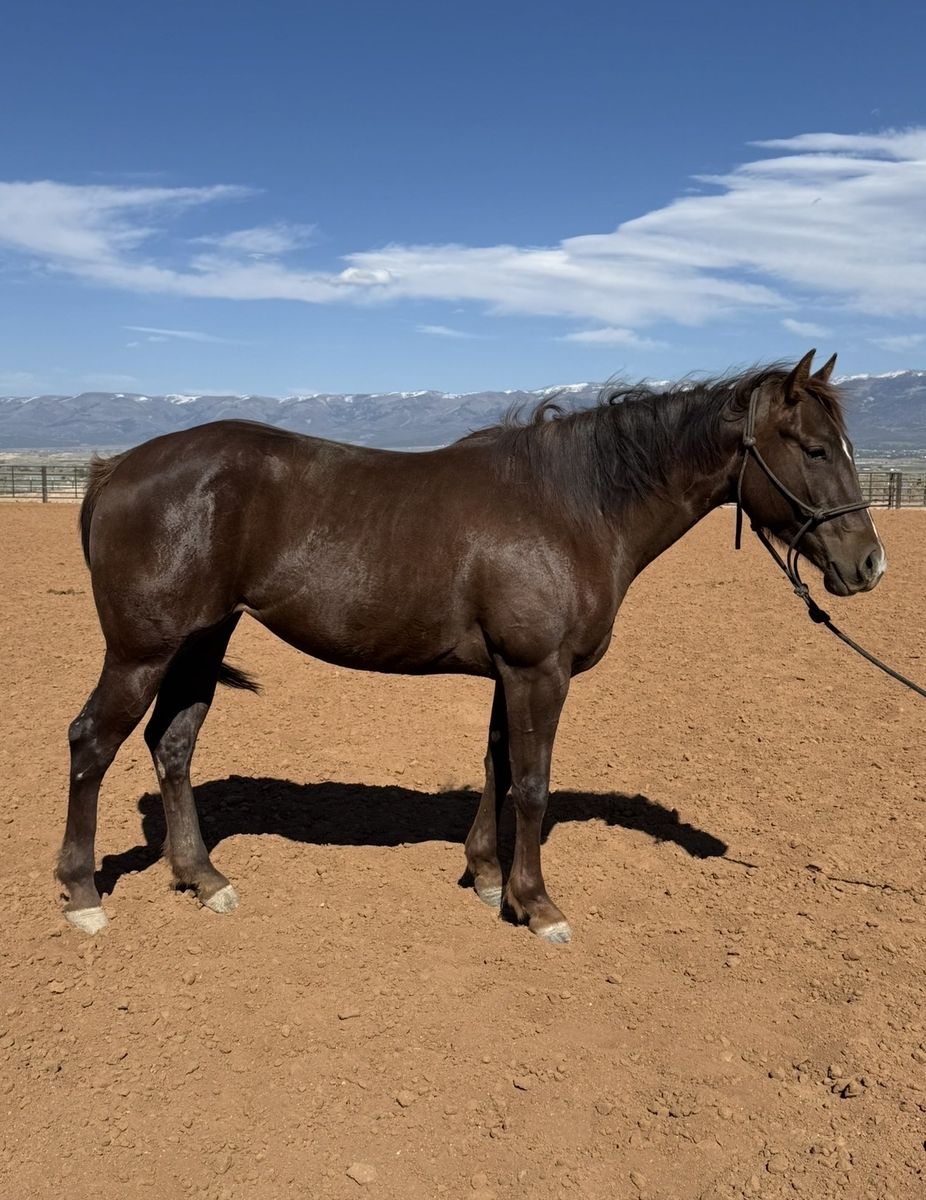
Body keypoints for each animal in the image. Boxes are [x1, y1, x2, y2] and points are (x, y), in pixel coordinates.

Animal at [57, 349, 885, 942]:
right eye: (814, 449)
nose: (869, 565)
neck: (571, 506)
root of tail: (116, 468)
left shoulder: (510, 673)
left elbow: (498, 768)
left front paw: (488, 878)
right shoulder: (538, 671)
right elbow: (534, 784)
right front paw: (538, 905)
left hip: (199, 640)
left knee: (173, 743)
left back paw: (203, 879)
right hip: (141, 650)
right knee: (92, 742)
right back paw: (82, 896)